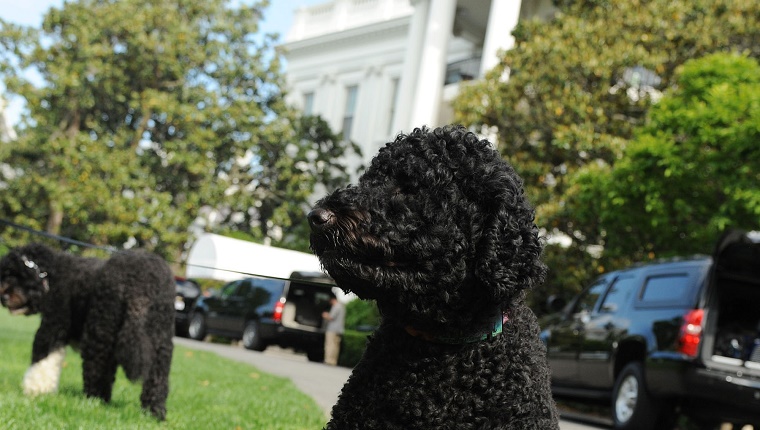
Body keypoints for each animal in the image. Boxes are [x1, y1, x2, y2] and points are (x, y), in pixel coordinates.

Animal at [0, 244, 174, 422]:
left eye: (14, 274)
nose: (4, 297)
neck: (53, 274)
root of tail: (142, 283)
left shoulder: (53, 326)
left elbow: (42, 360)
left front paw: (35, 390)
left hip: (100, 332)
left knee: (98, 369)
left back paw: (95, 400)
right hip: (161, 342)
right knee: (157, 380)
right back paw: (155, 412)